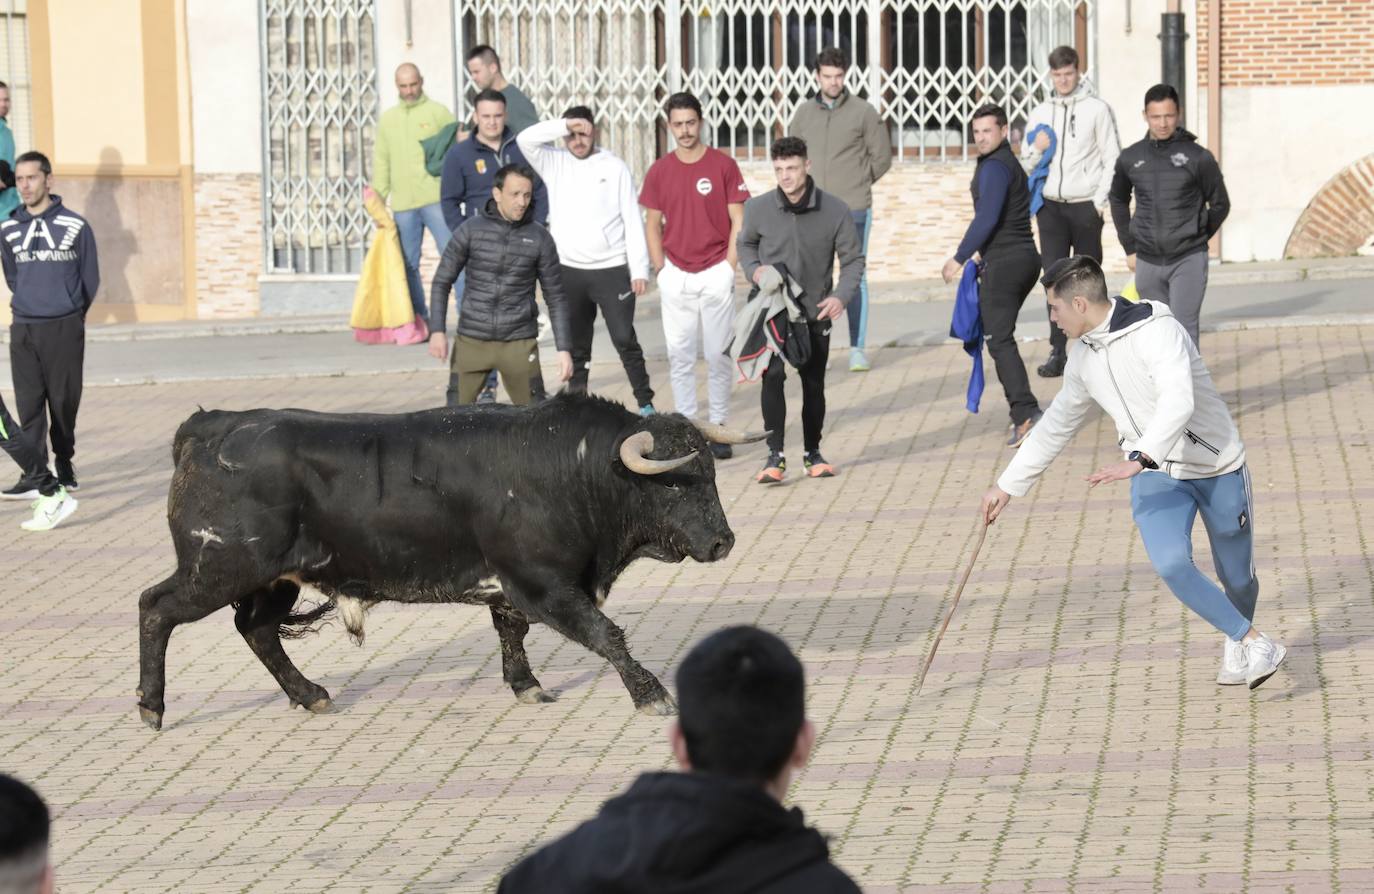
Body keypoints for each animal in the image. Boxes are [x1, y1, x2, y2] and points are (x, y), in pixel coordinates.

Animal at [136, 395, 763, 730]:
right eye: (674, 484)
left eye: (711, 471)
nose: (723, 543)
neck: (567, 467)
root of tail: (210, 426)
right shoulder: (543, 584)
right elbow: (605, 633)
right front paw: (651, 695)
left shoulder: (513, 589)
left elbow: (512, 634)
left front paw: (526, 685)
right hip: (218, 567)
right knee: (155, 607)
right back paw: (151, 707)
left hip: (272, 578)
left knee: (257, 629)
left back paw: (309, 693)